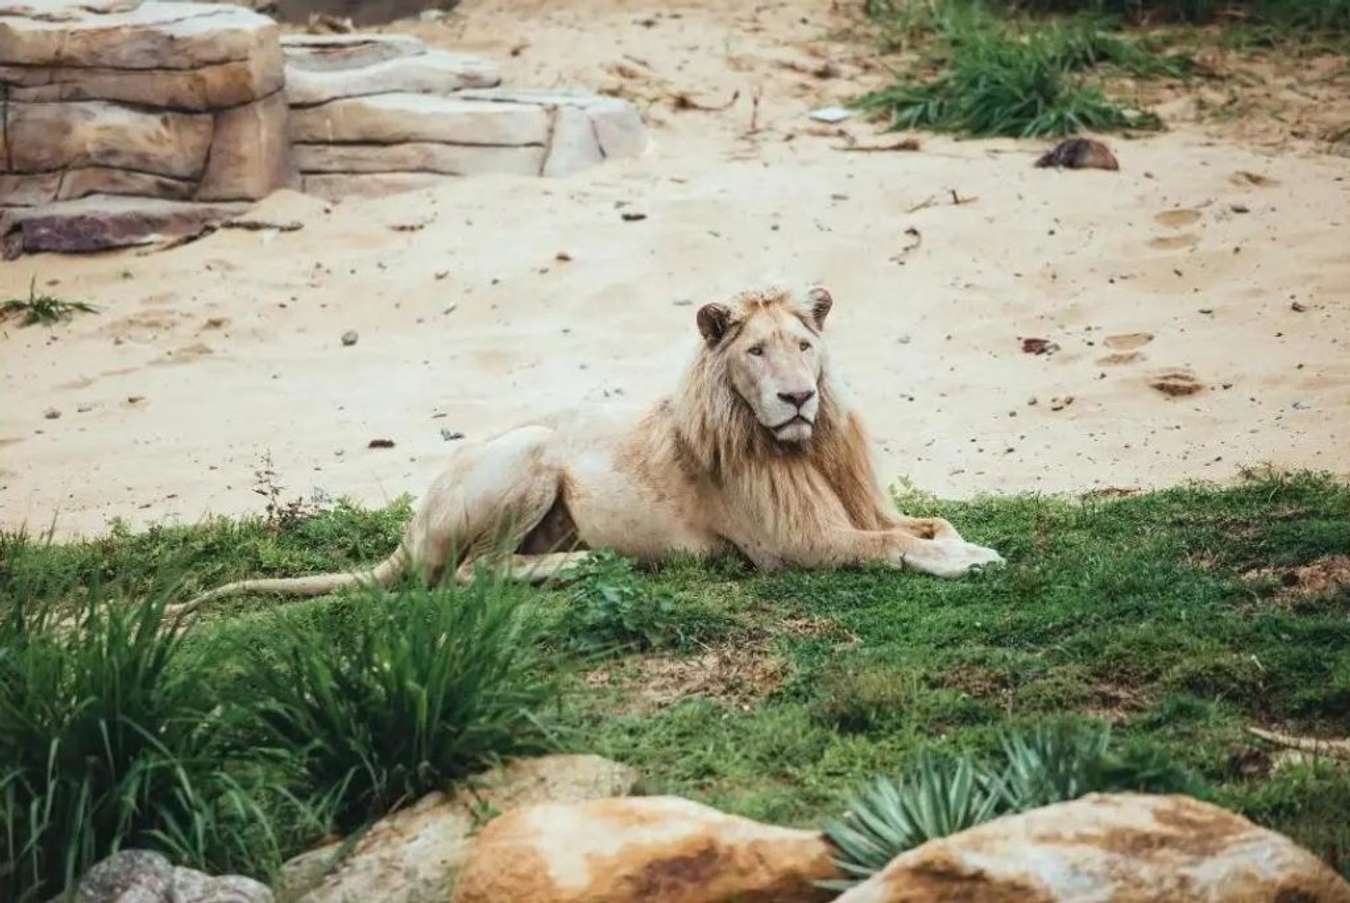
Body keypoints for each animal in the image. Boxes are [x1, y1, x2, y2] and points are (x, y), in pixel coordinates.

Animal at [182, 287, 1004, 612]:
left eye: (804, 346)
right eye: (758, 352)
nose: (799, 397)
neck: (805, 446)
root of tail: (411, 528)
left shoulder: (859, 507)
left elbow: (927, 525)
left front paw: (969, 545)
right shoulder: (790, 547)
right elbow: (894, 547)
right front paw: (963, 562)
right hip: (532, 450)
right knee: (466, 574)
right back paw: (581, 566)